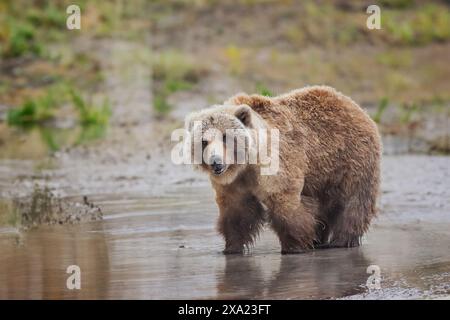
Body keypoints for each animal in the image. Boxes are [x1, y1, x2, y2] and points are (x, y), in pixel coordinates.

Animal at [185, 85, 382, 255]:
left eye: (226, 137)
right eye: (204, 141)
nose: (216, 162)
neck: (247, 164)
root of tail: (352, 104)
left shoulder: (276, 165)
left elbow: (285, 206)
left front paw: (294, 246)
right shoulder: (235, 184)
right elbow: (237, 212)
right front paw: (231, 247)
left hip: (351, 159)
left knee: (353, 202)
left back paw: (341, 240)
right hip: (320, 174)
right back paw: (321, 239)